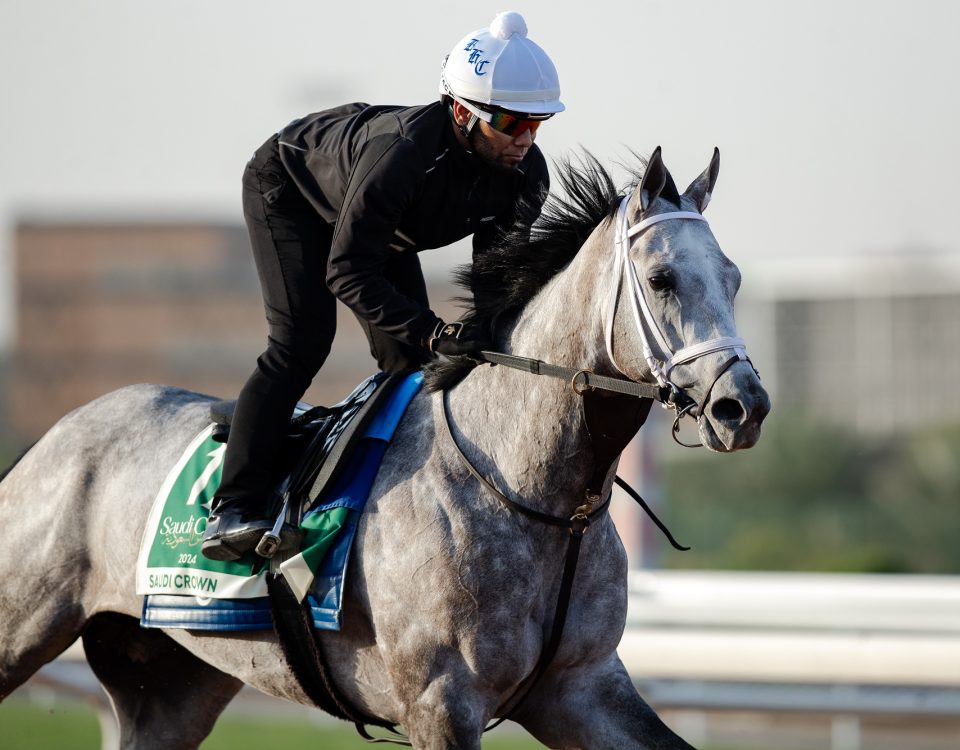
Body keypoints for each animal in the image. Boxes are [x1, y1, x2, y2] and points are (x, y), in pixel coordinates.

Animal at [0, 148, 764, 750]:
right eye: (662, 279)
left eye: (733, 278)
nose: (744, 406)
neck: (528, 492)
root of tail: (55, 437)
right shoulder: (439, 700)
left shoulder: (582, 686)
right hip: (22, 625)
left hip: (170, 677)